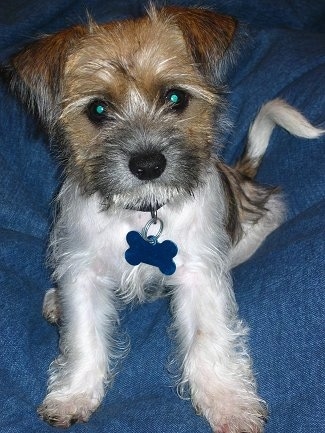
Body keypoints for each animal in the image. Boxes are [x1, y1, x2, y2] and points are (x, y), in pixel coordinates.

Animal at [1, 6, 322, 432]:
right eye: (97, 109)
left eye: (176, 97)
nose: (148, 164)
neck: (142, 213)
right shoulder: (82, 270)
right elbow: (84, 337)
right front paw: (74, 395)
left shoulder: (199, 271)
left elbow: (207, 337)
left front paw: (229, 403)